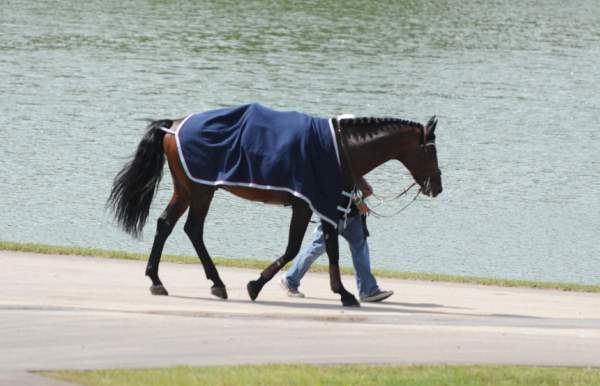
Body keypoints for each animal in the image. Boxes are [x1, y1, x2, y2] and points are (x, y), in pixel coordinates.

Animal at [109, 103, 440, 308]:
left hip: (188, 189)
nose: (437, 186)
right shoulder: (309, 205)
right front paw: (256, 285)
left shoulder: (321, 207)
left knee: (167, 224)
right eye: (432, 152)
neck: (339, 148)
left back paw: (159, 279)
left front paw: (343, 292)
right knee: (193, 229)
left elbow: (326, 248)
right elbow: (300, 248)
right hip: (201, 189)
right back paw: (214, 282)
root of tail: (174, 126)